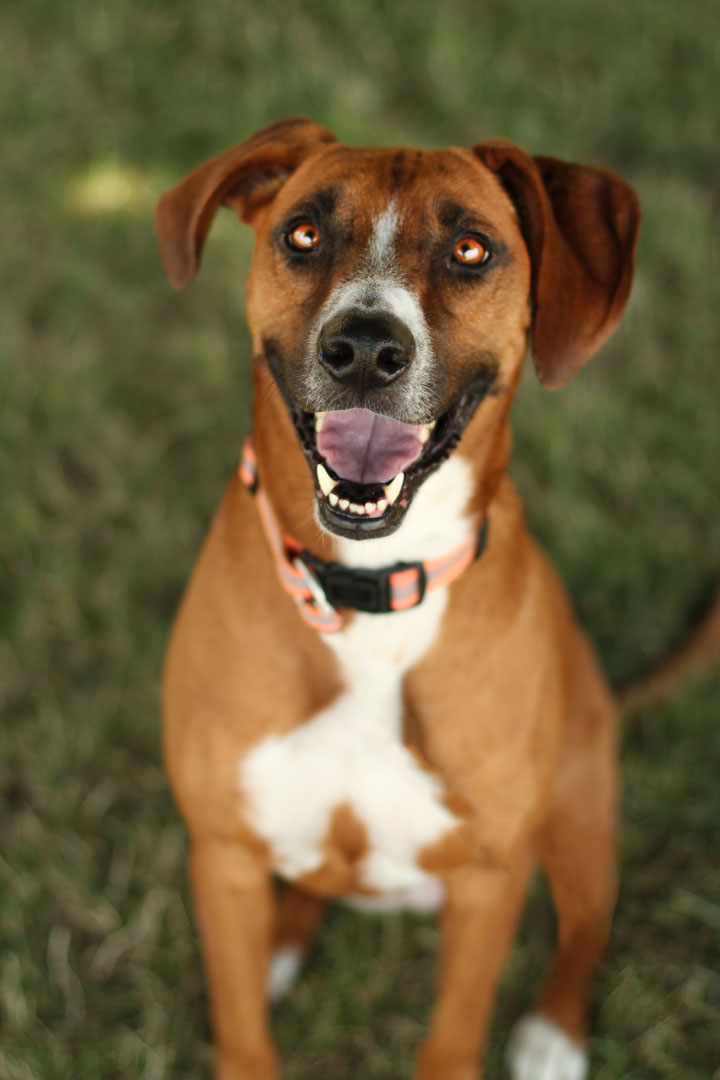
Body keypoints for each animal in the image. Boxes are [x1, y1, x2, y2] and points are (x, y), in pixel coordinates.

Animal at [155, 118, 639, 1080]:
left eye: (471, 249)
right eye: (303, 233)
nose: (366, 350)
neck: (370, 597)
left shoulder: (491, 879)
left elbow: (454, 1036)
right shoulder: (224, 853)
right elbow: (243, 1034)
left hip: (578, 811)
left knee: (588, 923)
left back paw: (555, 1032)